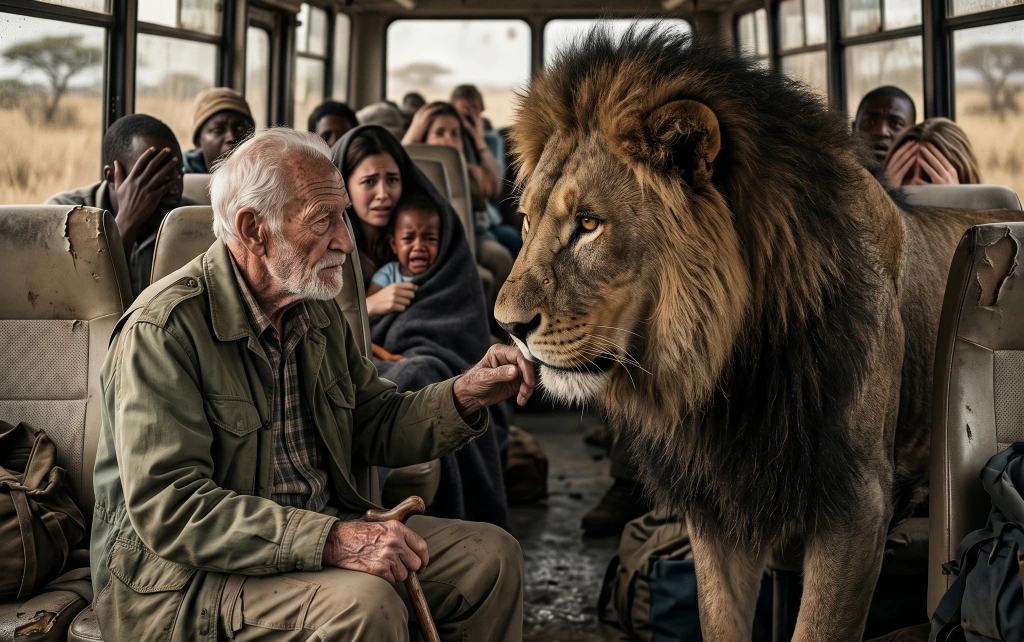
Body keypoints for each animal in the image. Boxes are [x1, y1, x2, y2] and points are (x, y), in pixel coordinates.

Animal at [495, 27, 1021, 640]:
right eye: (527, 220)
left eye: (588, 224)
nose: (508, 326)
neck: (734, 362)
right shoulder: (718, 506)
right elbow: (719, 620)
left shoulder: (856, 506)